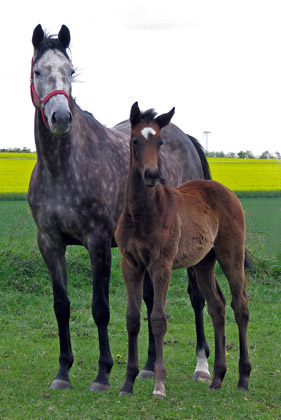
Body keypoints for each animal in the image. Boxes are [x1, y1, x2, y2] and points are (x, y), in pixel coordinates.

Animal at [115, 101, 250, 398]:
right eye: (134, 140)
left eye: (160, 141)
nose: (152, 175)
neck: (143, 212)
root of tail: (222, 189)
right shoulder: (130, 264)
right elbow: (132, 318)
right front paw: (127, 383)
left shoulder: (161, 265)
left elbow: (158, 319)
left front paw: (159, 386)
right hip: (203, 263)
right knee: (217, 307)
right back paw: (217, 377)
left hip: (231, 255)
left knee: (240, 306)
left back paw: (243, 379)